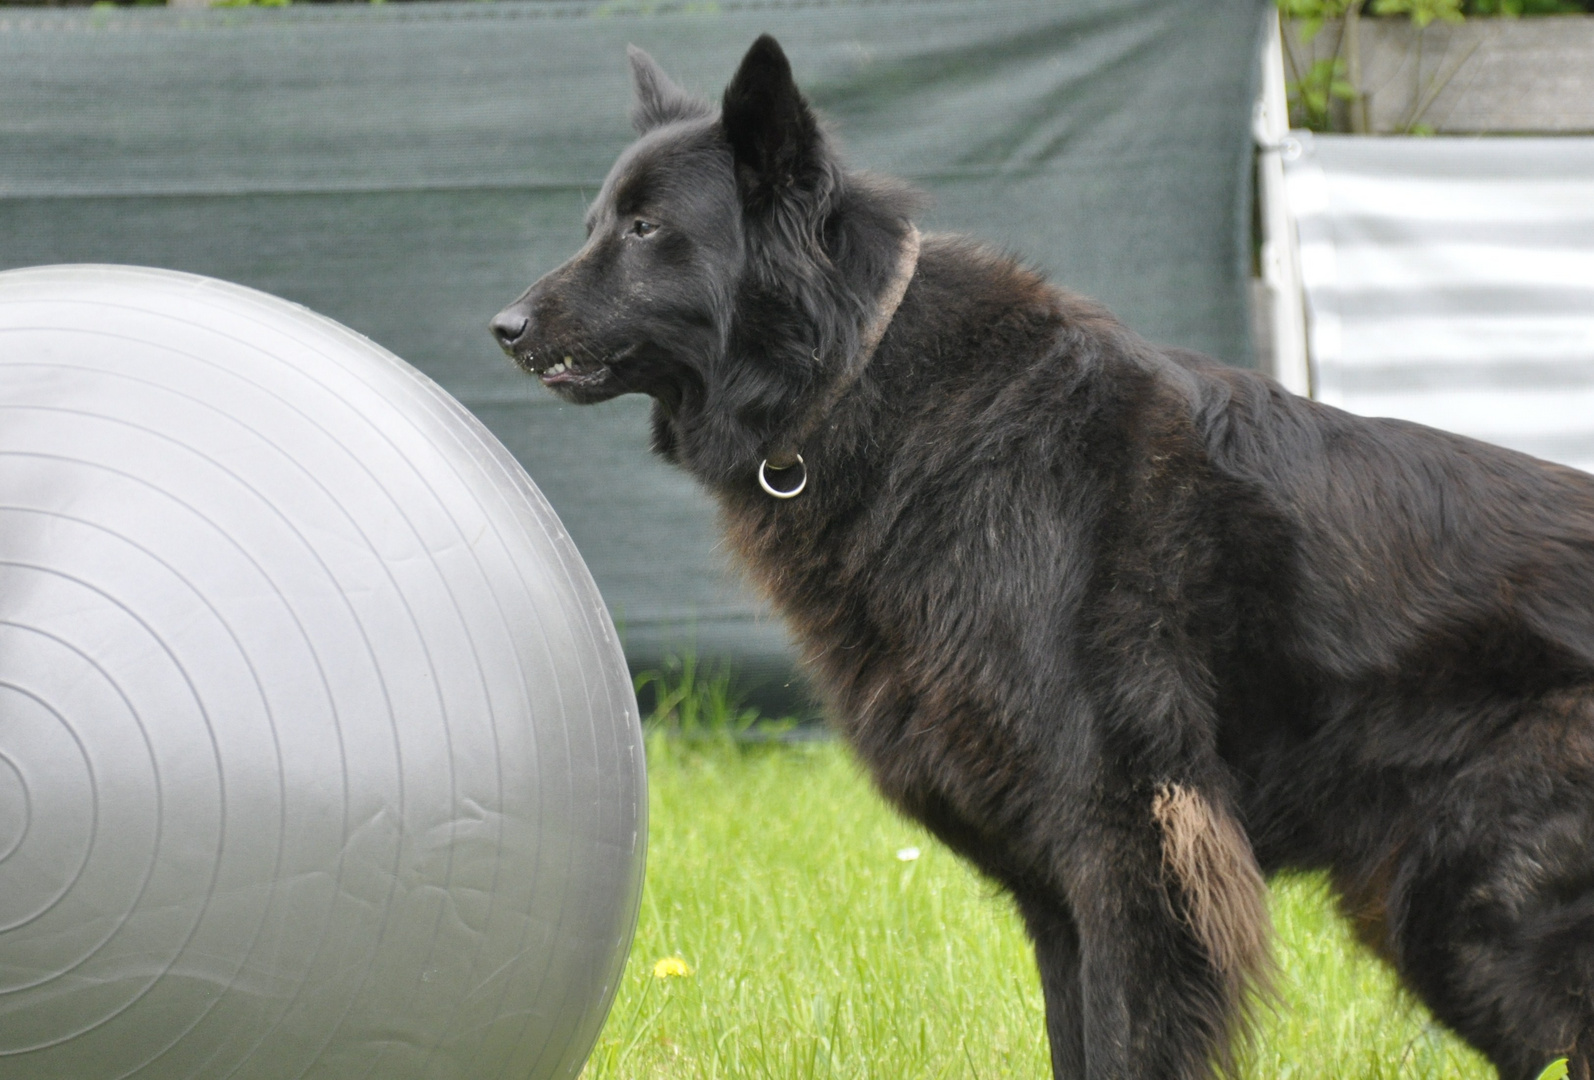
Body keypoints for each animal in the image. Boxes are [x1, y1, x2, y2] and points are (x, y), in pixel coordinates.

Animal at [490, 36, 1594, 1080]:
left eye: (645, 230)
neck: (862, 373)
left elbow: (1126, 1043)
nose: (502, 326)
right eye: (596, 222)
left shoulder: (1131, 861)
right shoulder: (1056, 892)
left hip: (1469, 916)